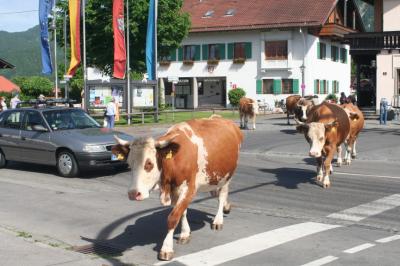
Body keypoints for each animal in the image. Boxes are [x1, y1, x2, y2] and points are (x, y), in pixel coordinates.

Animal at [113, 115, 244, 260]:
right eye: (129, 164)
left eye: (149, 163)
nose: (133, 193)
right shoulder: (175, 191)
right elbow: (182, 212)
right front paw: (185, 233)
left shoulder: (189, 189)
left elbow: (173, 217)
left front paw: (166, 248)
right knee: (216, 193)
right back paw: (227, 206)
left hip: (227, 176)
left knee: (222, 195)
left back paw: (218, 220)